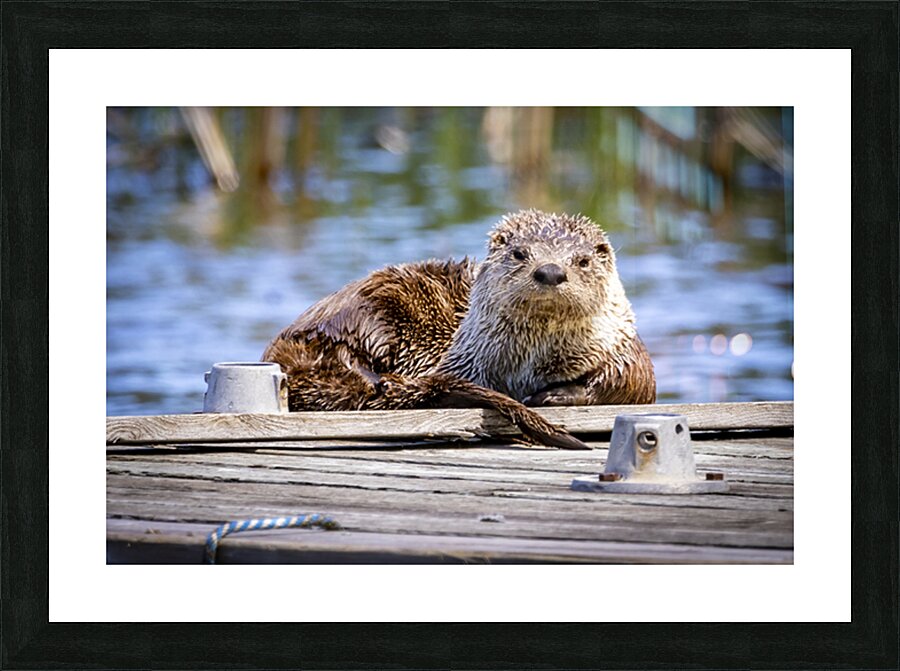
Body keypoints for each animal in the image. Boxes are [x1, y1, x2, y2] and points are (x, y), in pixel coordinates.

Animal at [263, 209, 655, 449]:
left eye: (582, 260)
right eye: (520, 253)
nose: (550, 271)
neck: (533, 364)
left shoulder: (622, 347)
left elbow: (630, 383)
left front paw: (555, 395)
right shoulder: (466, 360)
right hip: (371, 308)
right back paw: (381, 381)